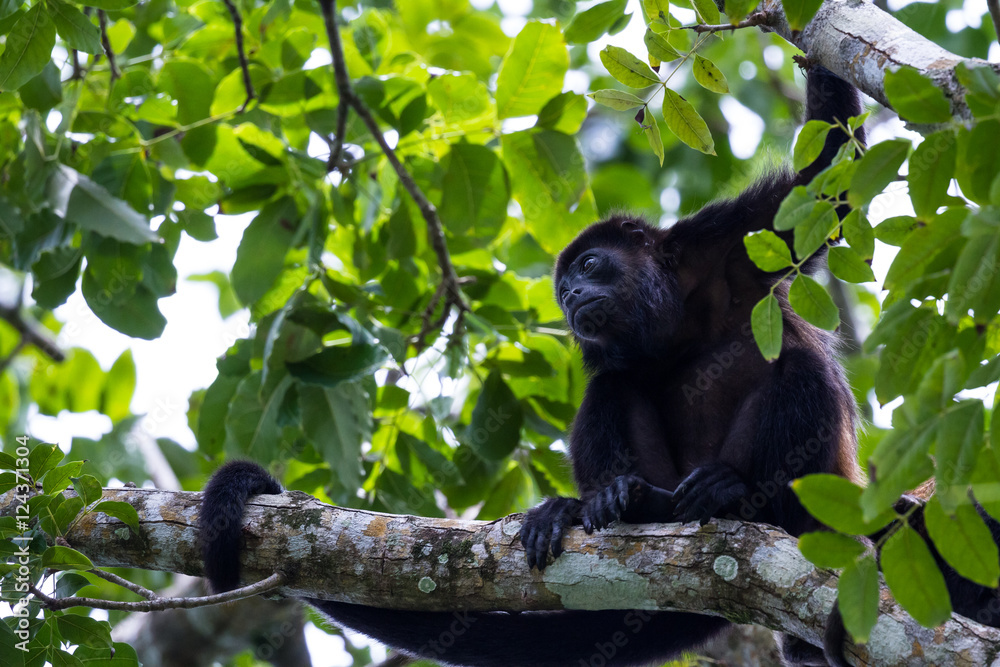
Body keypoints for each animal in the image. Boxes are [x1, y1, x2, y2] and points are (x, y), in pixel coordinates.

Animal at [200, 66, 866, 666]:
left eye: (590, 266)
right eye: (565, 287)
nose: (572, 295)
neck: (676, 320)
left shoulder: (725, 242)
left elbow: (827, 181)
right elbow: (612, 380)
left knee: (798, 371)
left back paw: (736, 495)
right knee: (613, 388)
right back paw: (625, 501)